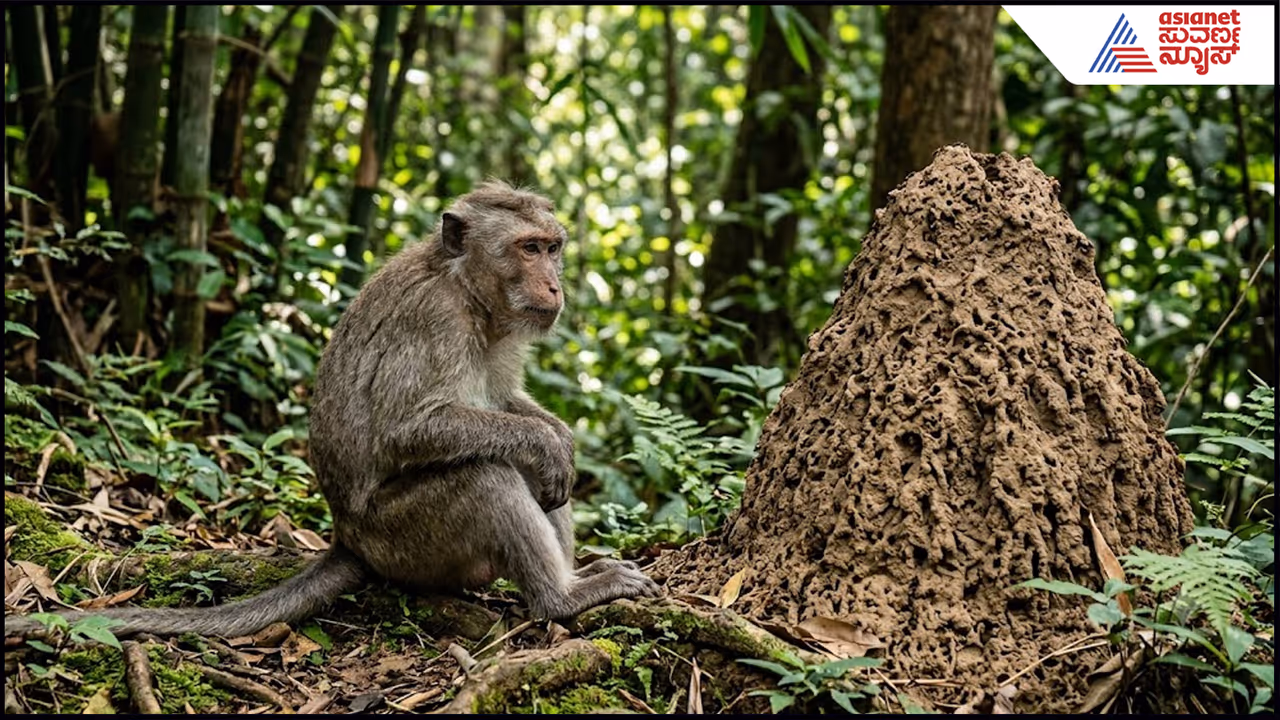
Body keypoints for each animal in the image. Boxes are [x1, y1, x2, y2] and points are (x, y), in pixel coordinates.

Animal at [5, 181, 660, 641]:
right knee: (486, 472)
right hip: (405, 542)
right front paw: (548, 443)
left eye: (553, 248)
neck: (468, 290)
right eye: (528, 249)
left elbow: (506, 407)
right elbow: (410, 429)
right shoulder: (436, 319)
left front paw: (558, 436)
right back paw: (562, 598)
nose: (554, 286)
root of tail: (347, 538)